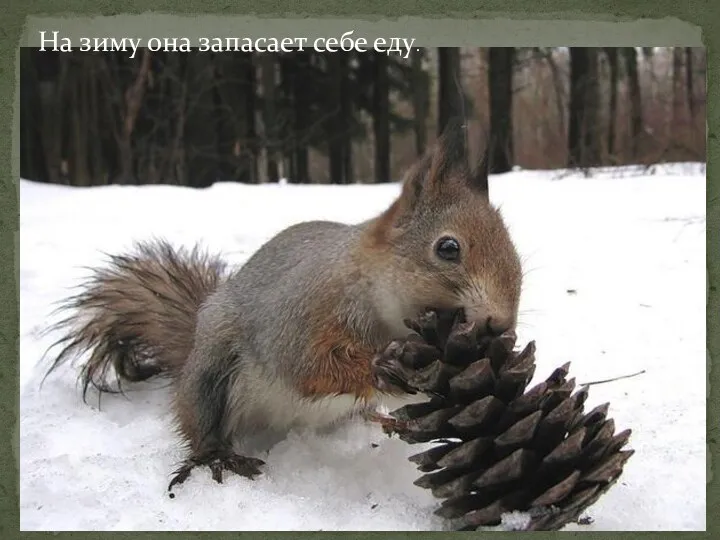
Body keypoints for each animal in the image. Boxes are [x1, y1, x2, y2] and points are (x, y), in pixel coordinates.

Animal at [46, 119, 524, 494]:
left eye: (514, 249)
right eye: (448, 248)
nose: (500, 325)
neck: (385, 311)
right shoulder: (303, 314)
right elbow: (306, 366)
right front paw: (378, 368)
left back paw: (389, 421)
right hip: (212, 368)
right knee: (200, 423)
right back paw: (215, 456)